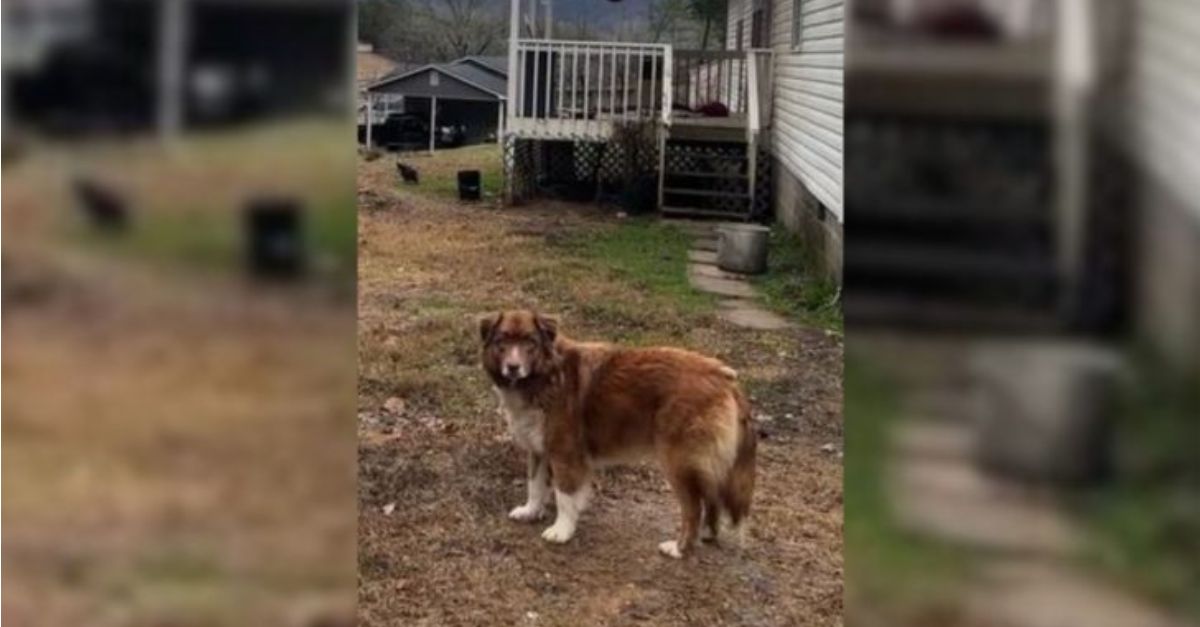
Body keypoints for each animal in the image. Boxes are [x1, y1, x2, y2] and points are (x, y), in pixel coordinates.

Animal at [480, 307, 753, 557]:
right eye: (503, 341)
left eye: (530, 342)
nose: (513, 367)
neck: (546, 376)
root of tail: (724, 376)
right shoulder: (539, 450)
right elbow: (534, 486)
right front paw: (530, 511)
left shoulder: (565, 454)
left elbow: (564, 495)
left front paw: (562, 530)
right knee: (712, 497)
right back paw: (706, 535)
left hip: (678, 462)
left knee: (694, 509)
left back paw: (679, 548)